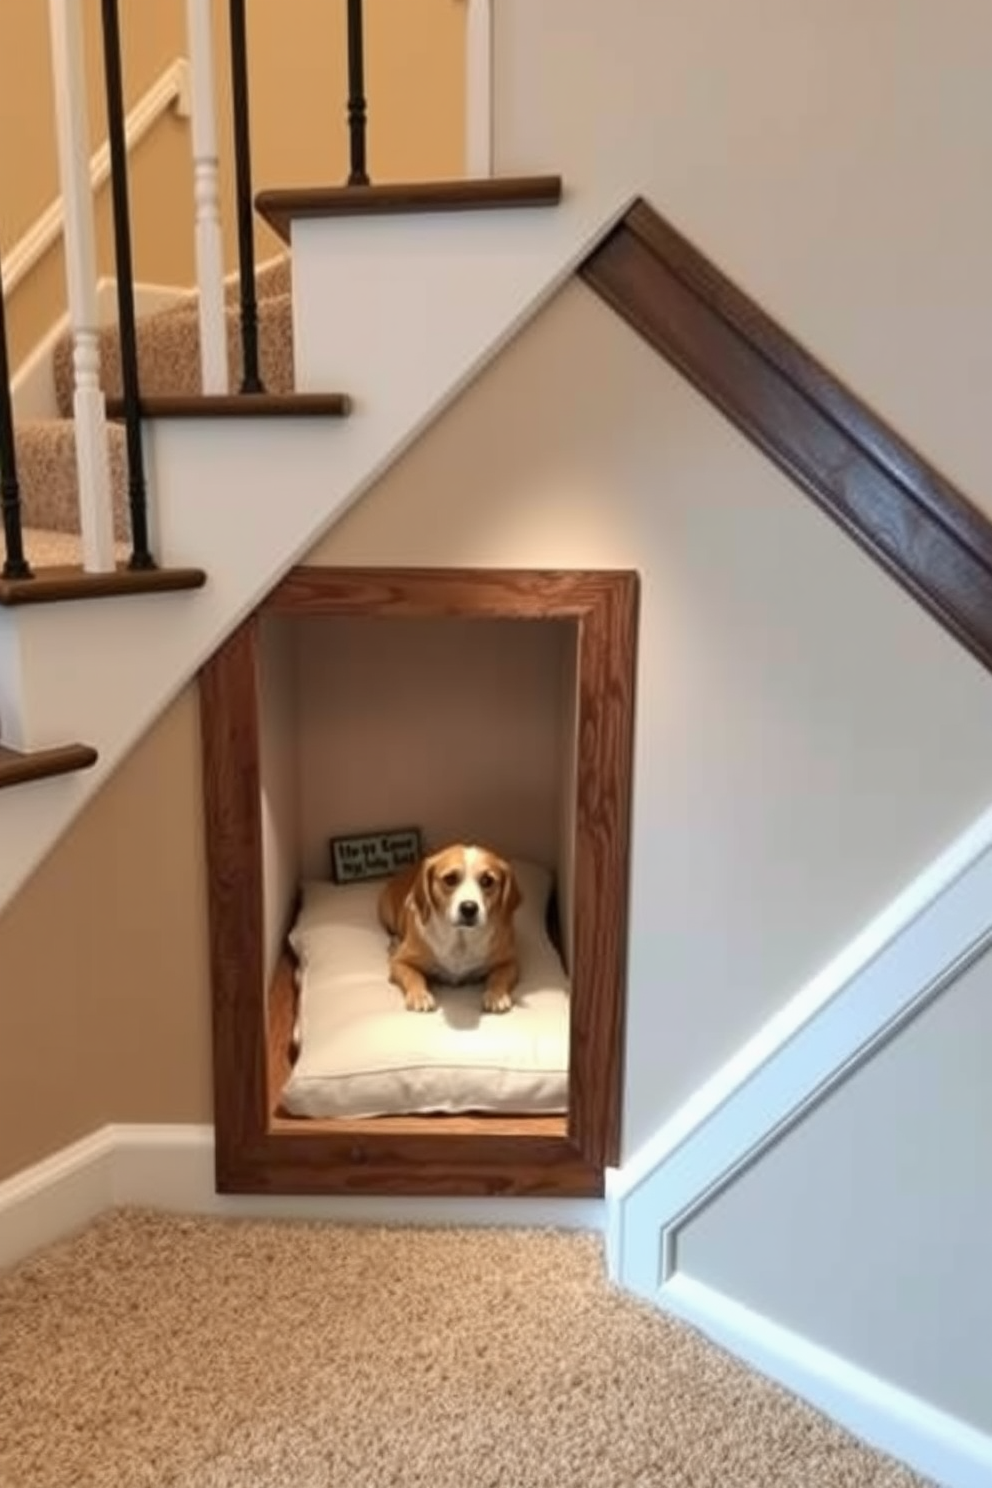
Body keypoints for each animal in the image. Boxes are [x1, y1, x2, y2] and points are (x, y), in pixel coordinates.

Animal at [376, 845, 523, 1017]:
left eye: (487, 880)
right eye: (450, 879)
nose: (469, 908)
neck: (460, 939)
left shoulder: (510, 963)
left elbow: (498, 977)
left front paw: (496, 995)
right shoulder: (400, 962)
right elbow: (413, 976)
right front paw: (419, 995)